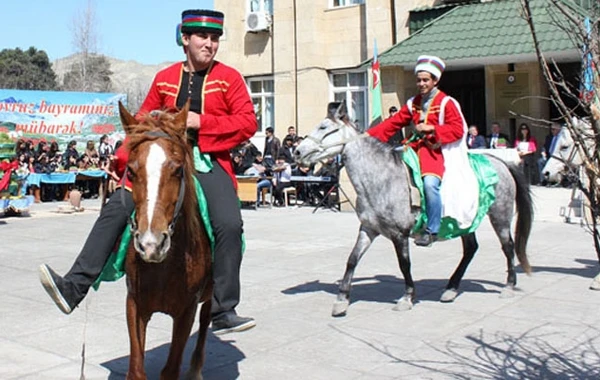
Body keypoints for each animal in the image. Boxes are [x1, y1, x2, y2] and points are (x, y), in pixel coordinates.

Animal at [118, 101, 212, 380]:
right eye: (131, 170)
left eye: (178, 170)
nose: (151, 244)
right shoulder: (135, 305)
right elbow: (136, 370)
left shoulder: (186, 311)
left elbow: (171, 369)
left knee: (206, 320)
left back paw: (196, 368)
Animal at [292, 104, 532, 318]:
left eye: (324, 127)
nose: (297, 151)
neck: (381, 178)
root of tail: (501, 163)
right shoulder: (368, 229)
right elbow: (352, 259)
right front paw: (341, 300)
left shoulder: (399, 233)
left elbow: (404, 263)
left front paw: (407, 297)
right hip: (465, 222)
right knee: (471, 249)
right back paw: (451, 289)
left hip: (500, 215)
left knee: (508, 247)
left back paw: (508, 286)